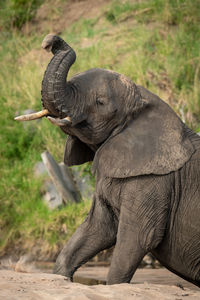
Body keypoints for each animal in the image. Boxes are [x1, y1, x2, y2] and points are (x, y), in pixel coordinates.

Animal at [15, 34, 200, 286]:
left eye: (100, 102)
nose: (50, 41)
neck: (144, 95)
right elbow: (96, 229)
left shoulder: (154, 183)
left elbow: (138, 238)